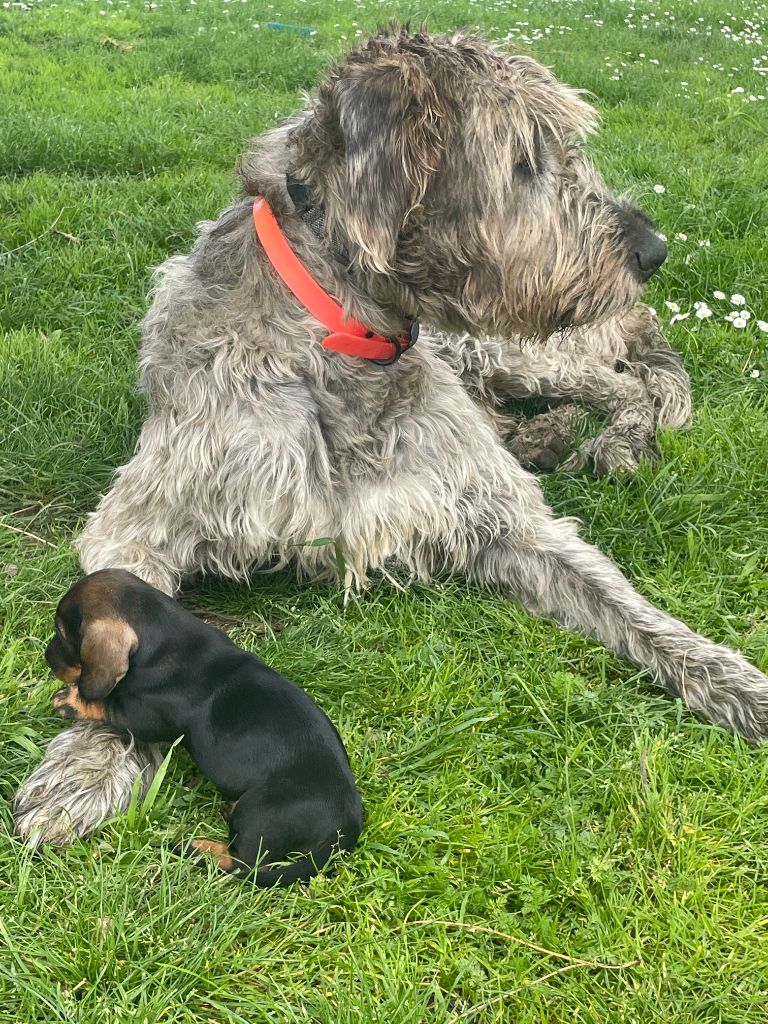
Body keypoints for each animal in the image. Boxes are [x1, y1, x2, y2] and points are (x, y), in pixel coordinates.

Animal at [14, 25, 766, 846]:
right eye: (524, 159)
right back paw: (544, 435)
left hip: (508, 348)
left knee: (629, 385)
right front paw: (87, 764)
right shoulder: (152, 510)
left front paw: (740, 682)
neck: (339, 337)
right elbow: (117, 619)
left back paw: (615, 440)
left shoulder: (503, 515)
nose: (653, 251)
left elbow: (634, 610)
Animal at [42, 569, 363, 885]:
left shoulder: (142, 718)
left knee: (242, 864)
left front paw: (71, 700)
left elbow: (107, 705)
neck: (164, 638)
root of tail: (347, 826)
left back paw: (198, 848)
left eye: (62, 633)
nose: (47, 657)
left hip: (259, 812)